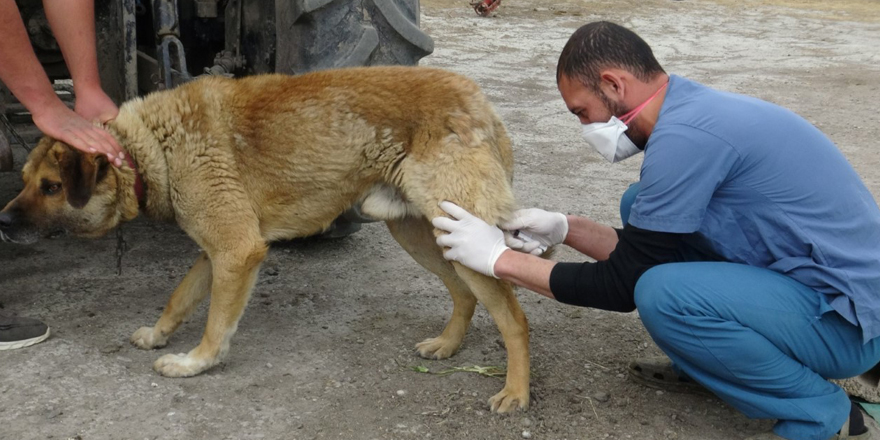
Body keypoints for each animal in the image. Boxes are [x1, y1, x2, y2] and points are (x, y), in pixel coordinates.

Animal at [1, 65, 528, 412]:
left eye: (51, 187)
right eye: (25, 181)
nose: (3, 222)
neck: (152, 146)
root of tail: (479, 100)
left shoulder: (236, 253)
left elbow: (216, 323)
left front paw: (196, 363)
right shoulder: (215, 253)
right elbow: (180, 298)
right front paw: (157, 333)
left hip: (457, 238)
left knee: (514, 318)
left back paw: (516, 391)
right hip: (424, 234)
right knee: (464, 294)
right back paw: (448, 345)